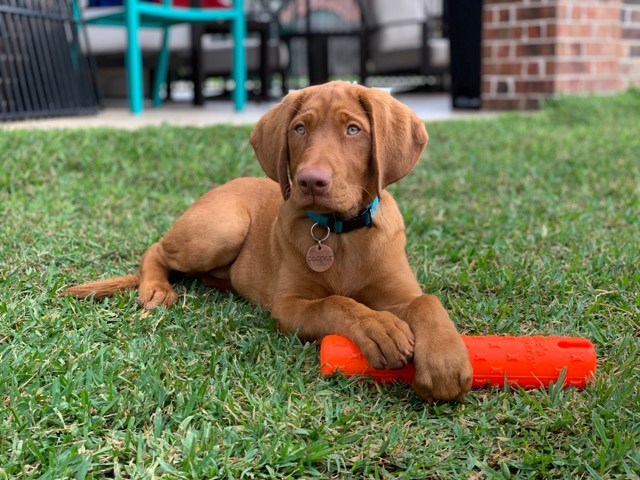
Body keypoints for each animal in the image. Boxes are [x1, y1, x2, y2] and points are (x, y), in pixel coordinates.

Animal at [63, 81, 476, 402]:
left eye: (354, 130)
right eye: (300, 129)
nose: (310, 181)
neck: (338, 233)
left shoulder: (399, 292)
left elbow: (426, 301)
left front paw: (445, 359)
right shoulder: (289, 307)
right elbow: (337, 303)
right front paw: (379, 328)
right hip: (223, 226)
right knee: (157, 249)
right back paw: (155, 288)